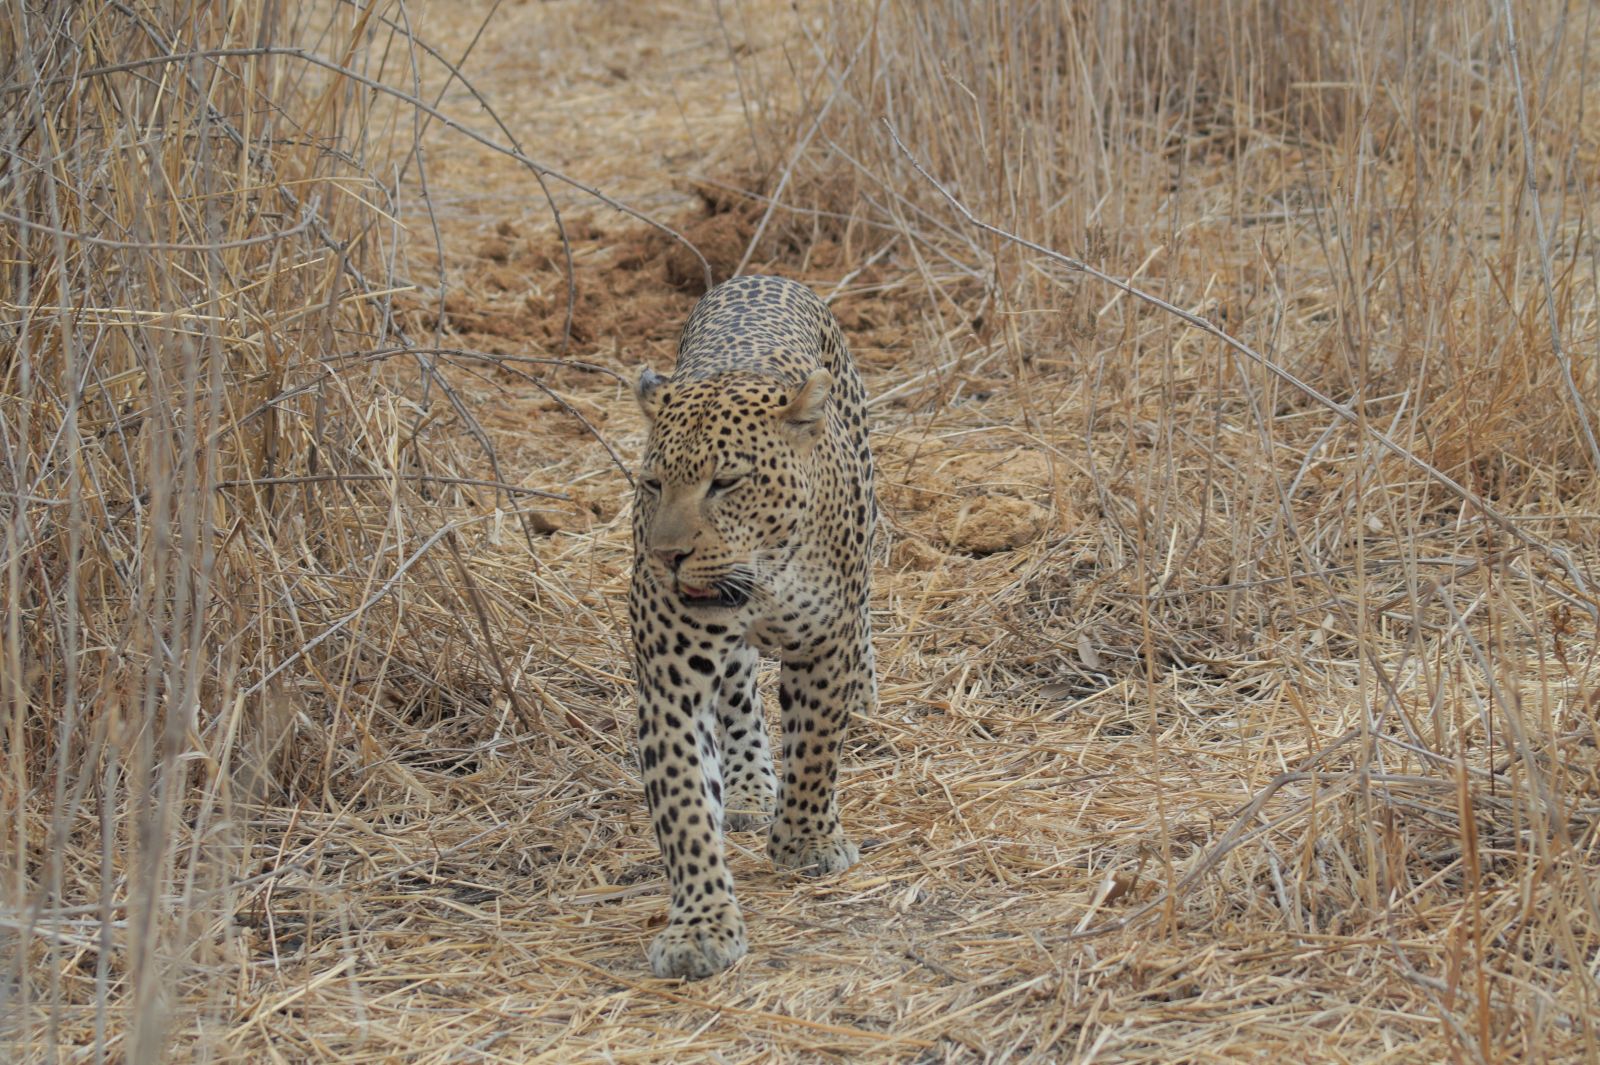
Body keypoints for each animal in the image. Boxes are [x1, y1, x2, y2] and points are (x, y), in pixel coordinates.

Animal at [628, 274, 877, 980]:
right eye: (652, 484)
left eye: (727, 481)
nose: (667, 555)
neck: (761, 573)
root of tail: (760, 276)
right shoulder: (671, 685)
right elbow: (685, 805)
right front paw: (700, 926)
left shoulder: (824, 646)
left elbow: (816, 748)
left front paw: (807, 842)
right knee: (739, 698)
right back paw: (746, 788)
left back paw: (867, 693)